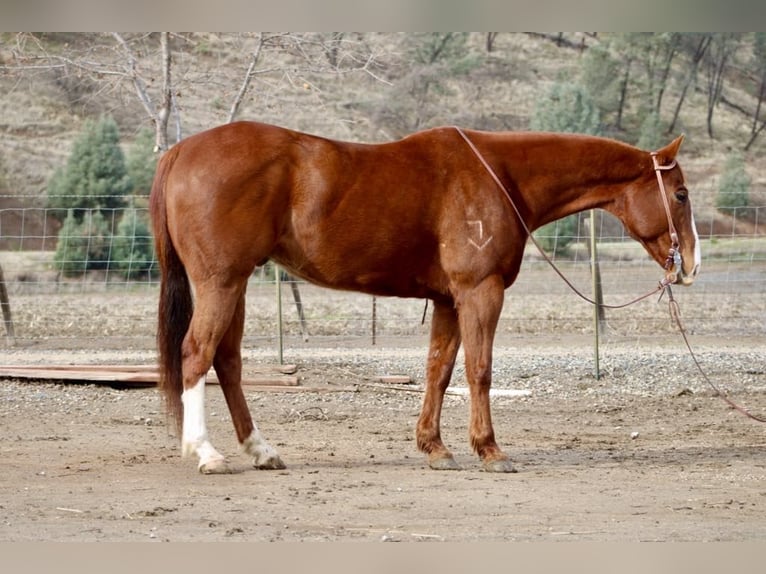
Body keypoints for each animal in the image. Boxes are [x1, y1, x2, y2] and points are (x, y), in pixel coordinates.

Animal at [149, 121, 701, 474]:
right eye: (680, 194)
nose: (691, 264)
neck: (499, 176)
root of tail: (180, 151)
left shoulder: (448, 301)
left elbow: (440, 369)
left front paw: (435, 448)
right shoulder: (480, 293)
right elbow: (479, 370)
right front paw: (490, 450)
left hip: (236, 284)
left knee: (227, 361)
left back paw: (261, 451)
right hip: (221, 282)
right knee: (196, 354)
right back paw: (207, 453)